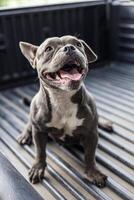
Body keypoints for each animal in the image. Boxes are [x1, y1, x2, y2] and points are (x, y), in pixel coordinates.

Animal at [18, 35, 108, 188]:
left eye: (78, 44)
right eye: (48, 48)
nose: (69, 48)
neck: (62, 98)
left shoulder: (91, 134)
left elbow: (90, 155)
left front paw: (93, 173)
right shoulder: (39, 131)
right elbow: (40, 152)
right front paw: (38, 168)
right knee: (29, 124)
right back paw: (25, 135)